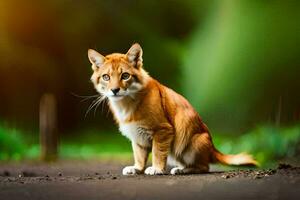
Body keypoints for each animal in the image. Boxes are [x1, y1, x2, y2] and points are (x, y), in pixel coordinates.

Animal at [86, 43, 258, 175]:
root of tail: (213, 148)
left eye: (125, 76)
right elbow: (139, 154)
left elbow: (157, 152)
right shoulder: (137, 136)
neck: (126, 103)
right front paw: (137, 168)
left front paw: (156, 169)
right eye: (106, 77)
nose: (115, 90)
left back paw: (182, 170)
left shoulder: (163, 130)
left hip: (190, 142)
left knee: (205, 167)